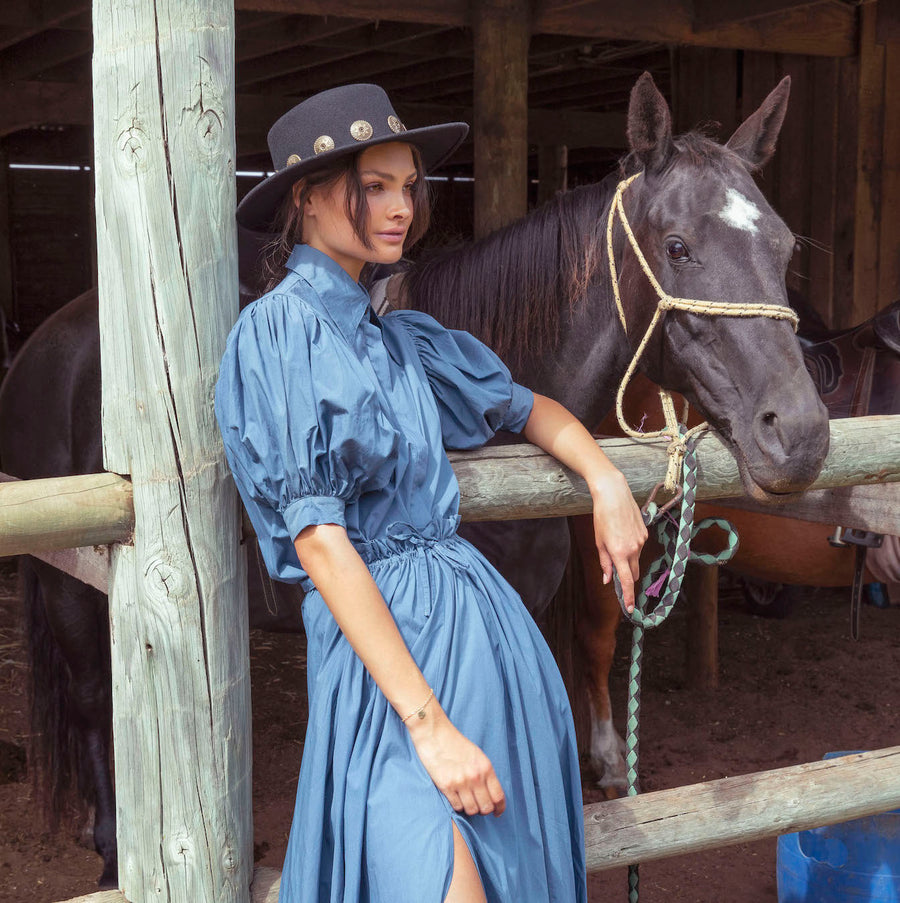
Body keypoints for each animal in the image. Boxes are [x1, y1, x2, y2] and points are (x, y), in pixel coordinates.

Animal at [0, 72, 828, 888]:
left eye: (785, 246)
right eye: (678, 245)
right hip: (73, 588)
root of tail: (46, 347)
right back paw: (112, 847)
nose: (800, 434)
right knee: (92, 702)